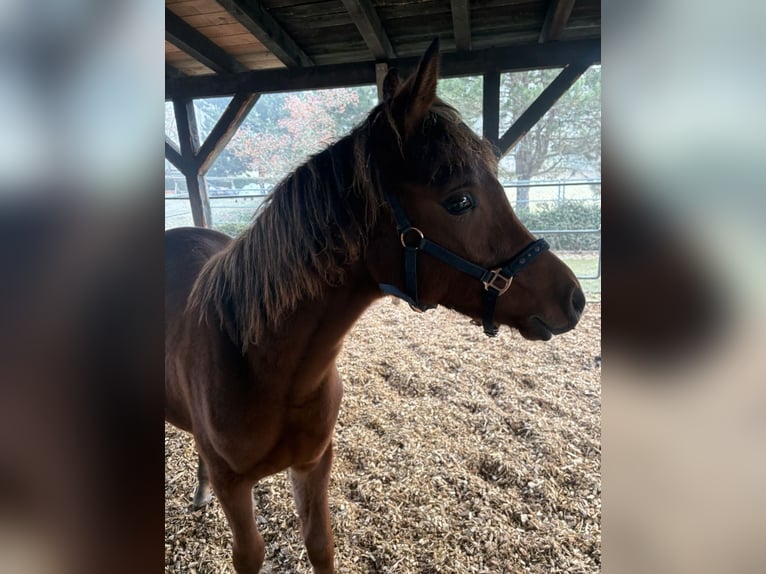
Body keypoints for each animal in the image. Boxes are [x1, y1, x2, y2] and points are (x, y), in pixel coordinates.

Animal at [165, 39, 585, 574]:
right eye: (460, 201)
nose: (574, 298)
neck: (264, 367)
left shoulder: (313, 465)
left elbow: (320, 544)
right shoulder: (234, 486)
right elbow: (250, 554)